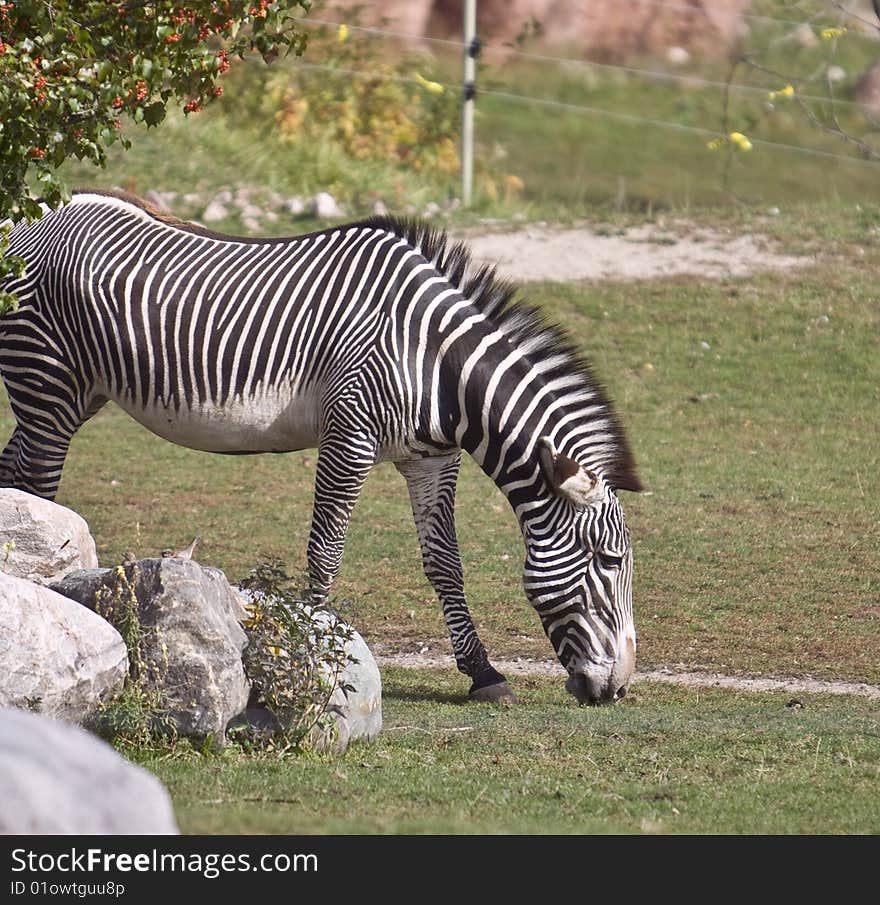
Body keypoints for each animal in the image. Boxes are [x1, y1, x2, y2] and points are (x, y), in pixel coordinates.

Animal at [1, 187, 648, 704]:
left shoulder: (430, 458)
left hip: (77, 395)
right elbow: (326, 550)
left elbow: (445, 564)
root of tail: (35, 212)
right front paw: (310, 657)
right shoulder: (349, 436)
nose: (617, 689)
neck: (437, 362)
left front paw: (483, 673)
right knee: (38, 494)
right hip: (47, 388)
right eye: (610, 562)